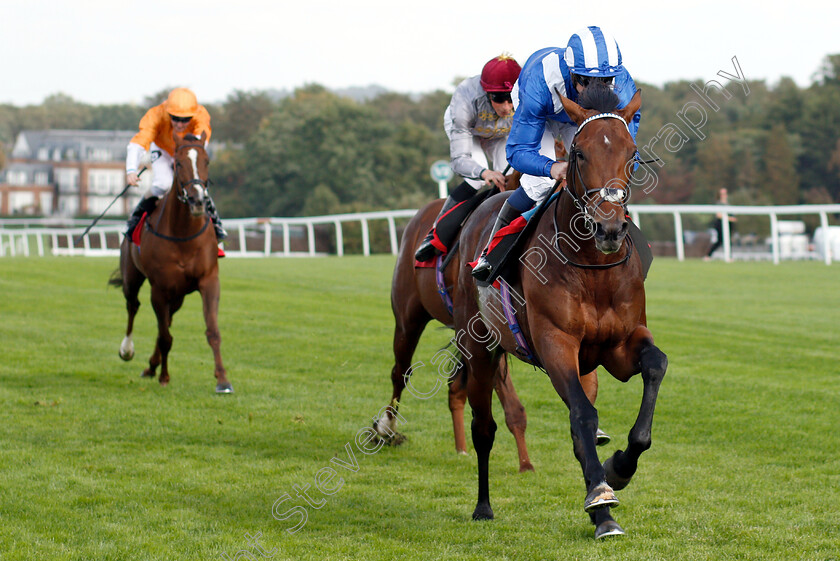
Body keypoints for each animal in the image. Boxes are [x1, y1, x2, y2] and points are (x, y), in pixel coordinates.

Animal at [110, 131, 233, 394]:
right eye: (178, 164)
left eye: (207, 161)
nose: (197, 200)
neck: (183, 233)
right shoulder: (159, 288)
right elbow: (165, 336)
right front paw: (164, 376)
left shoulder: (209, 280)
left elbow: (212, 331)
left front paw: (223, 380)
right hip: (133, 278)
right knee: (133, 306)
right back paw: (128, 350)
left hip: (178, 295)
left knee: (166, 320)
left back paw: (152, 365)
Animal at [372, 173, 536, 470]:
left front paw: (526, 463)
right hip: (407, 318)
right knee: (400, 372)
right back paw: (387, 427)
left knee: (454, 388)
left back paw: (461, 448)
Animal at [456, 84, 668, 540]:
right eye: (580, 153)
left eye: (632, 152)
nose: (610, 228)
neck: (592, 270)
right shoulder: (556, 343)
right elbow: (582, 416)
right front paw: (602, 498)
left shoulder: (620, 345)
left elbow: (655, 366)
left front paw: (618, 468)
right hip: (480, 347)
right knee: (484, 427)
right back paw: (483, 506)